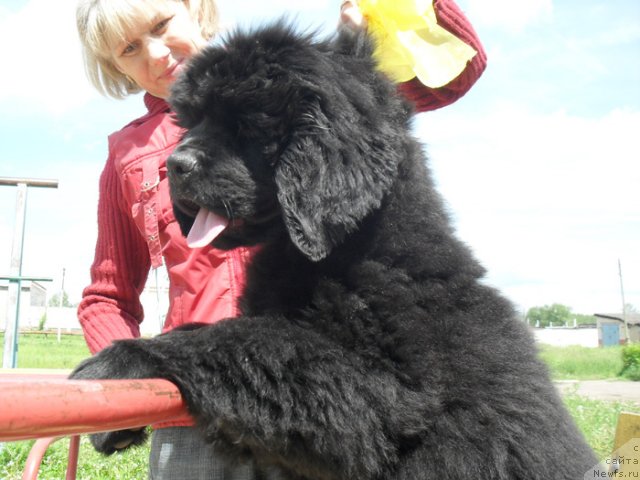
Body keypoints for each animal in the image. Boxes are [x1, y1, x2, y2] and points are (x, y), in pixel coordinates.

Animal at [72, 21, 596, 476]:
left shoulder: (387, 392)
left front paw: (117, 364)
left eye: (246, 125)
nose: (174, 166)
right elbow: (226, 331)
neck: (353, 246)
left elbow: (245, 342)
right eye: (192, 121)